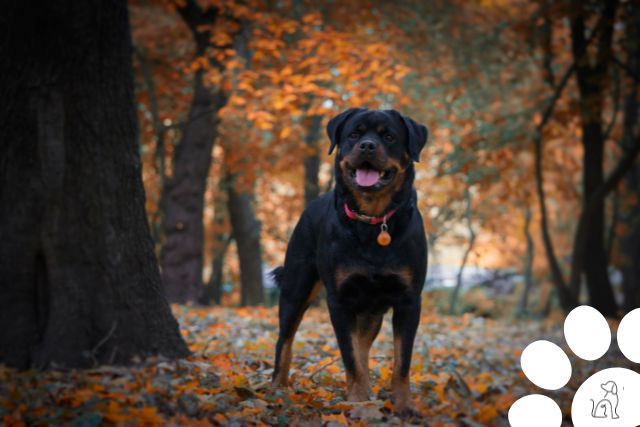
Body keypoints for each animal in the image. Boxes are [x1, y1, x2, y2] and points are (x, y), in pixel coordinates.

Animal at [272, 108, 428, 416]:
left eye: (389, 136)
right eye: (354, 134)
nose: (367, 146)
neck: (373, 221)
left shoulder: (409, 300)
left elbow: (400, 362)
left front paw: (403, 405)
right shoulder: (339, 300)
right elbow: (350, 357)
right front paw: (358, 405)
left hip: (371, 310)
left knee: (364, 346)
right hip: (296, 288)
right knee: (285, 339)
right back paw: (277, 390)